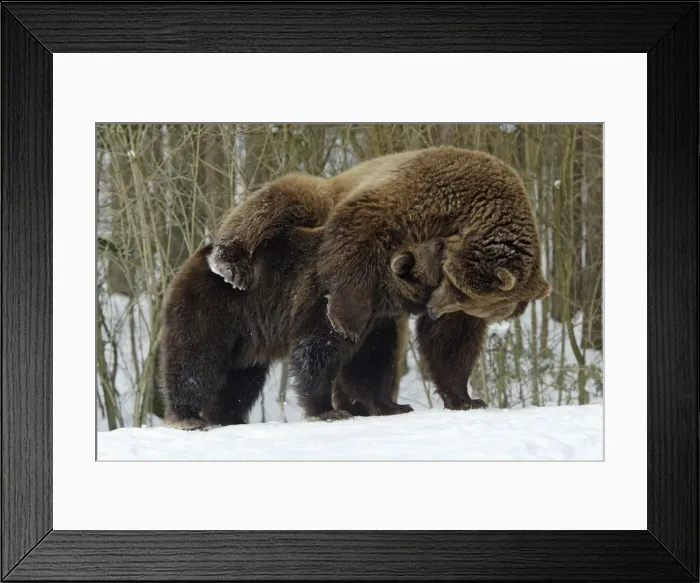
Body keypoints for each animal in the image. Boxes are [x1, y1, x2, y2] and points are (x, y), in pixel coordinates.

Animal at [159, 225, 447, 429]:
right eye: (439, 251)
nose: (443, 241)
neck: (375, 291)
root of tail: (190, 262)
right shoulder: (327, 301)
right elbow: (316, 349)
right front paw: (328, 411)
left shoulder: (374, 323)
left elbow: (369, 361)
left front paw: (393, 405)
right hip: (213, 311)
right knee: (195, 360)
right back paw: (188, 417)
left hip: (246, 339)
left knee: (242, 378)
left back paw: (228, 417)